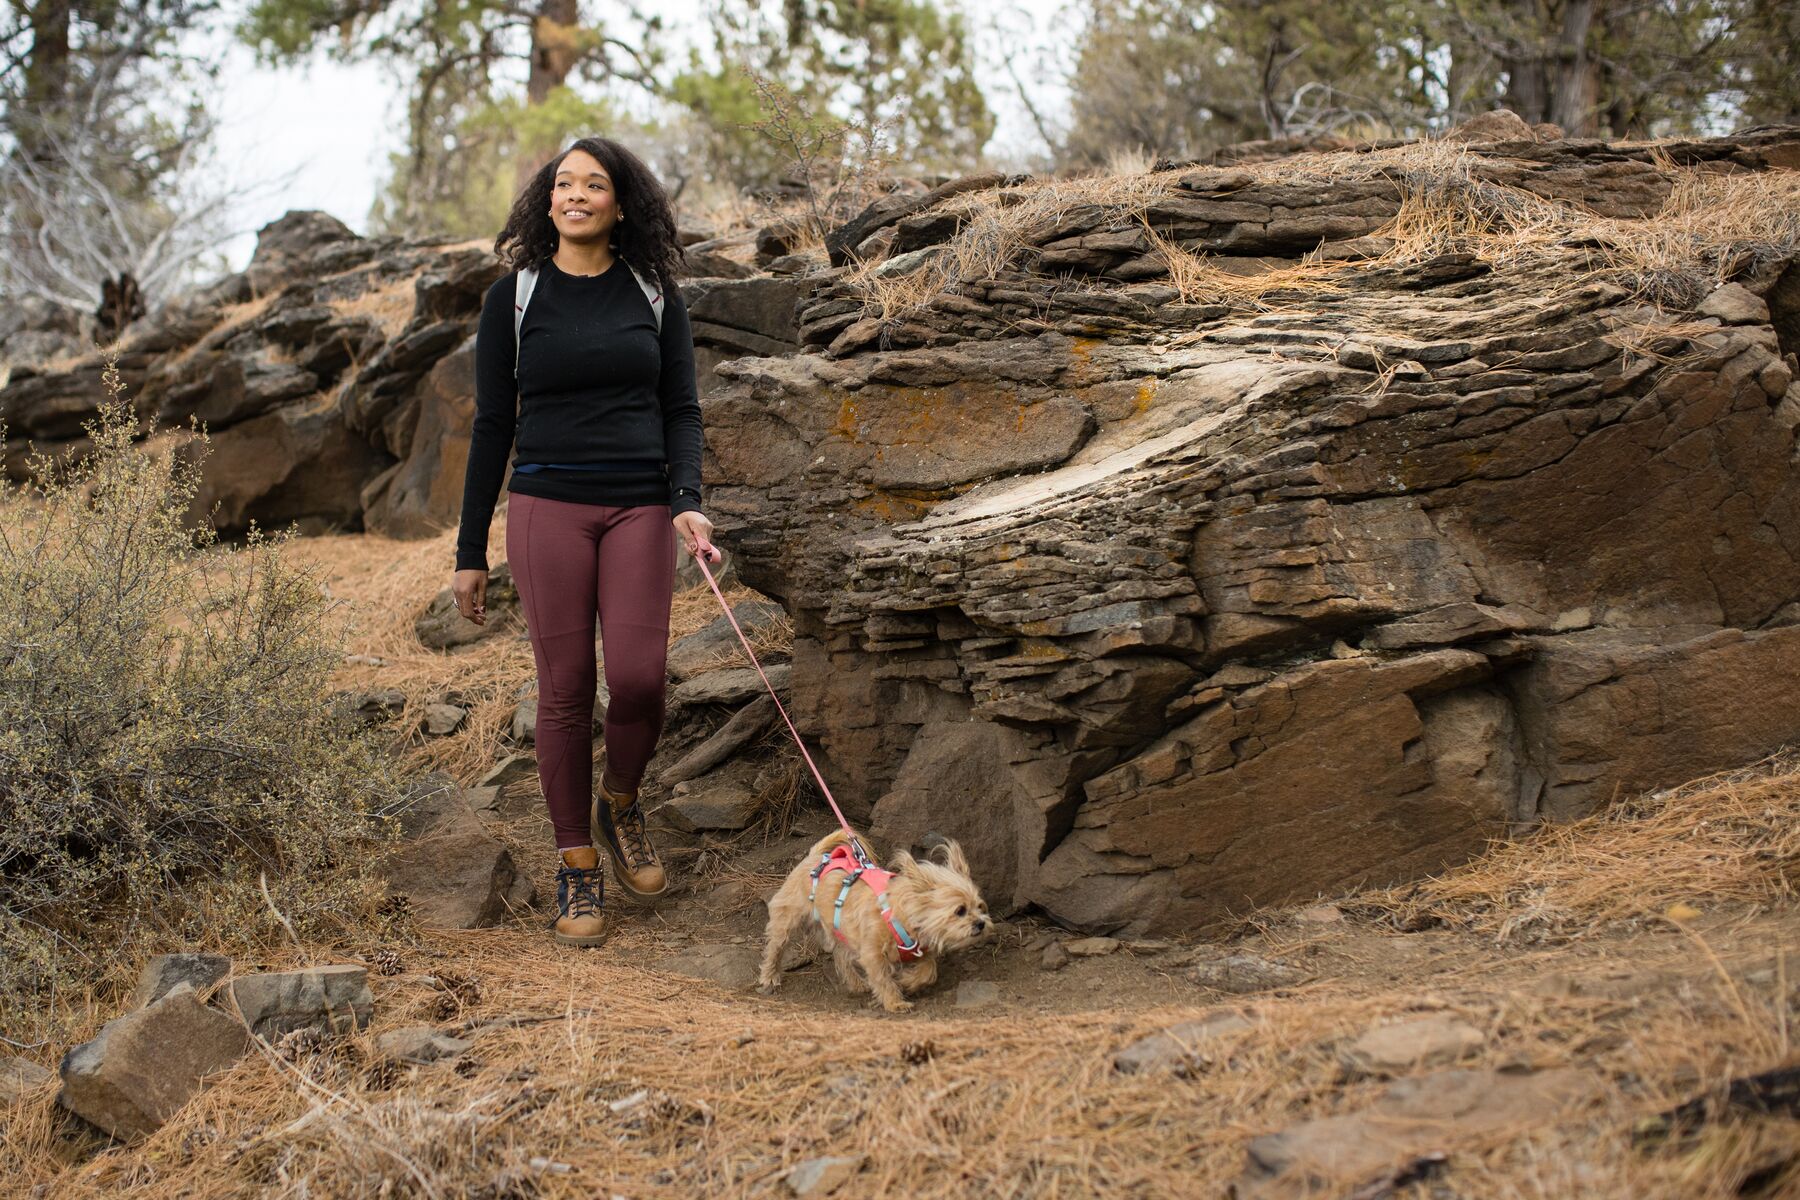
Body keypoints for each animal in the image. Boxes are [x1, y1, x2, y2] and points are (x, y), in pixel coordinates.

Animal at [756, 834, 993, 1014]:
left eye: (981, 907)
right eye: (959, 910)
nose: (981, 924)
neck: (901, 914)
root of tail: (815, 855)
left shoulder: (922, 952)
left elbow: (928, 971)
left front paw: (907, 981)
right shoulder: (873, 953)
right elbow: (882, 978)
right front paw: (895, 1002)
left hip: (842, 932)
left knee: (841, 956)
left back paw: (856, 984)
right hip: (787, 921)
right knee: (775, 949)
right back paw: (769, 977)